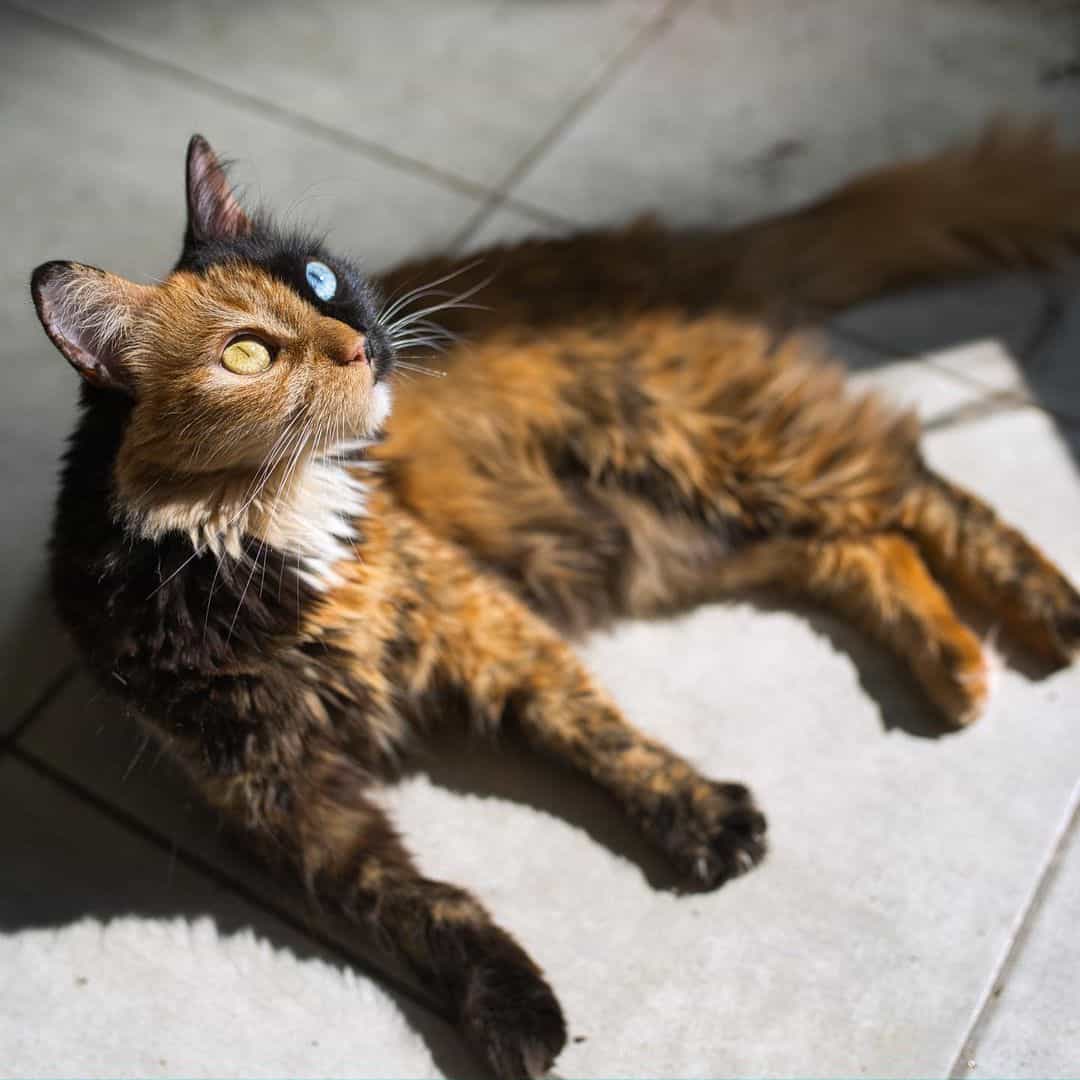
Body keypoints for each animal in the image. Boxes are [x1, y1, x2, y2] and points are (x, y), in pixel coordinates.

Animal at [29, 122, 1080, 1075]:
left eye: (319, 280)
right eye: (247, 354)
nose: (362, 342)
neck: (266, 539)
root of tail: (661, 249)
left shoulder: (475, 620)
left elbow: (595, 732)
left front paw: (700, 816)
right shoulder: (280, 793)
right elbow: (421, 903)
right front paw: (513, 1005)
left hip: (709, 452)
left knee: (920, 490)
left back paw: (1048, 619)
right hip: (663, 531)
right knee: (868, 545)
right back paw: (956, 668)